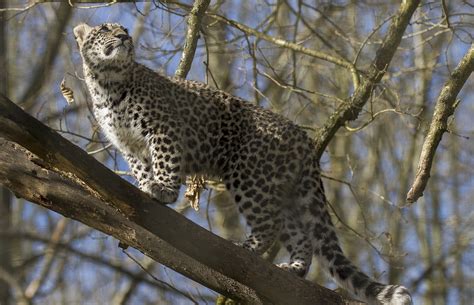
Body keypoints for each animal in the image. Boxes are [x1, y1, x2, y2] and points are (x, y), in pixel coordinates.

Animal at [73, 22, 412, 304]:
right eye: (105, 29)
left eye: (125, 29)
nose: (124, 37)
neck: (107, 84)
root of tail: (302, 138)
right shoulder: (130, 146)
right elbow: (143, 169)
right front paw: (145, 187)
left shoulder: (163, 130)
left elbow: (165, 162)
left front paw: (164, 190)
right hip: (285, 189)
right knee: (299, 235)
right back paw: (293, 268)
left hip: (250, 176)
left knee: (270, 225)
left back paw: (243, 248)